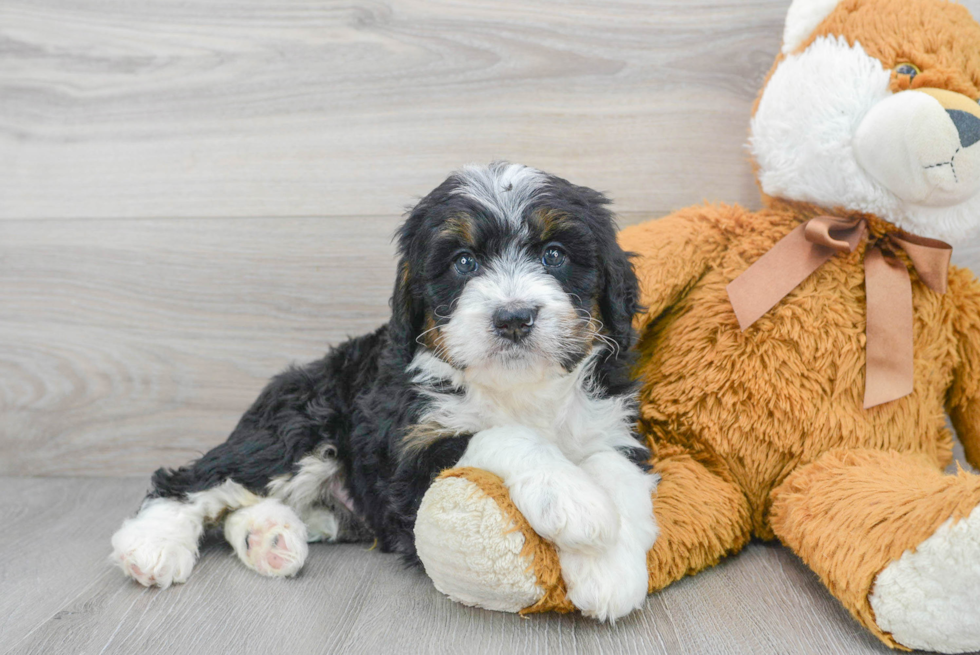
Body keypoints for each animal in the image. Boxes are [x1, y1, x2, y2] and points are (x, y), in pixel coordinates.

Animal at [109, 163, 660, 620]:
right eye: (463, 262)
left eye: (554, 254)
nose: (513, 317)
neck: (521, 388)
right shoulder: (411, 456)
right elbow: (504, 437)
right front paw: (572, 500)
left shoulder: (612, 425)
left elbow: (615, 469)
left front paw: (610, 569)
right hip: (300, 425)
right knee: (198, 477)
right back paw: (152, 544)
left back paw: (270, 539)